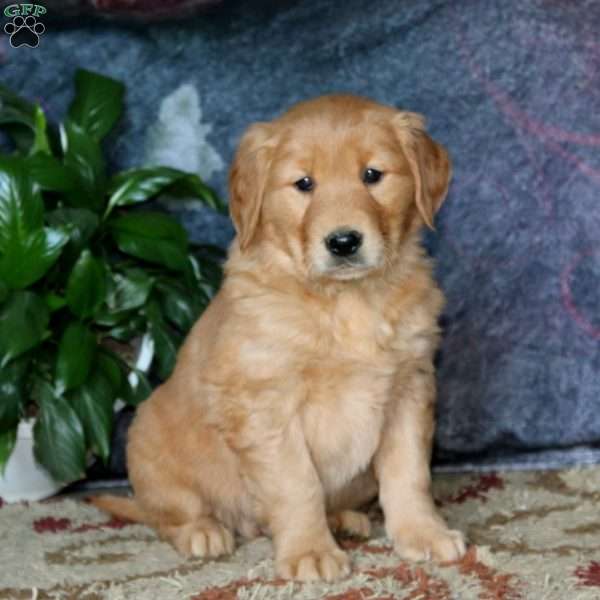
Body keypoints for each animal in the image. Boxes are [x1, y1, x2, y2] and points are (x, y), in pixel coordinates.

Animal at [94, 95, 466, 580]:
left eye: (372, 175)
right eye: (303, 183)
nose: (343, 242)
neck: (345, 301)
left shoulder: (410, 388)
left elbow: (409, 474)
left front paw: (424, 533)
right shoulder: (266, 406)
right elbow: (297, 484)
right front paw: (310, 551)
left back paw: (342, 517)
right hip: (148, 440)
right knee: (168, 513)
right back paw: (204, 531)